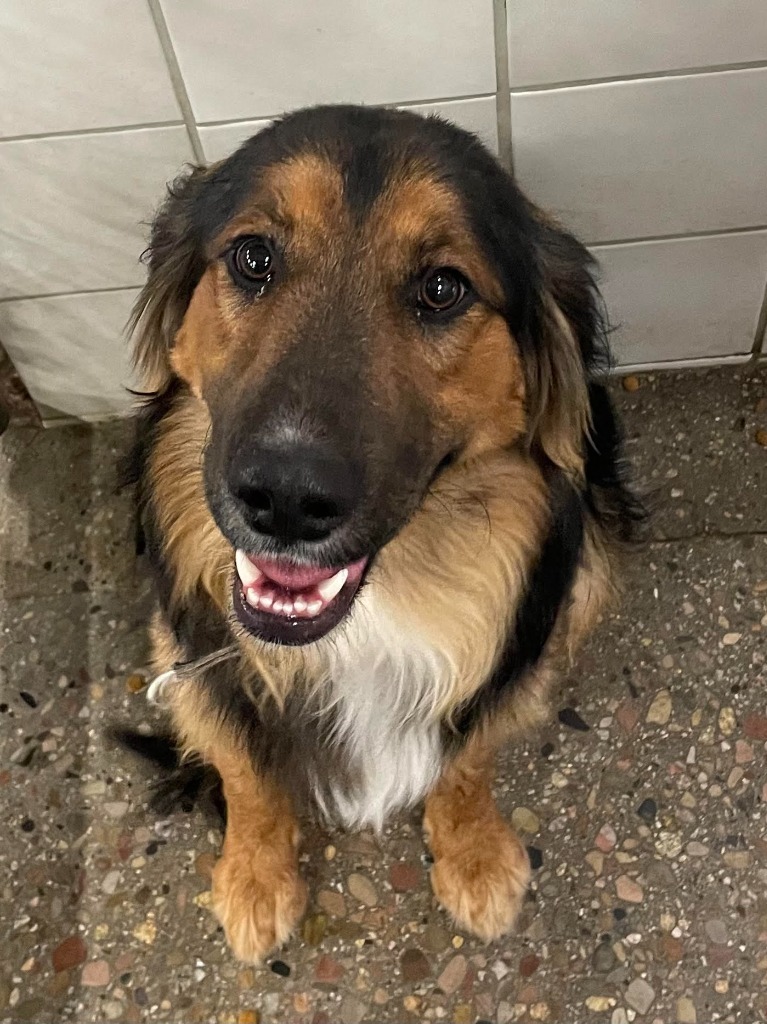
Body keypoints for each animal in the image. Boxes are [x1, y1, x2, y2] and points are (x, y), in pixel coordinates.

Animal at [125, 108, 638, 962]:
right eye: (253, 257)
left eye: (441, 288)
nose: (285, 499)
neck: (373, 614)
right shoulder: (191, 659)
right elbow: (243, 770)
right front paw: (253, 875)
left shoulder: (516, 645)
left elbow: (467, 758)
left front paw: (473, 854)